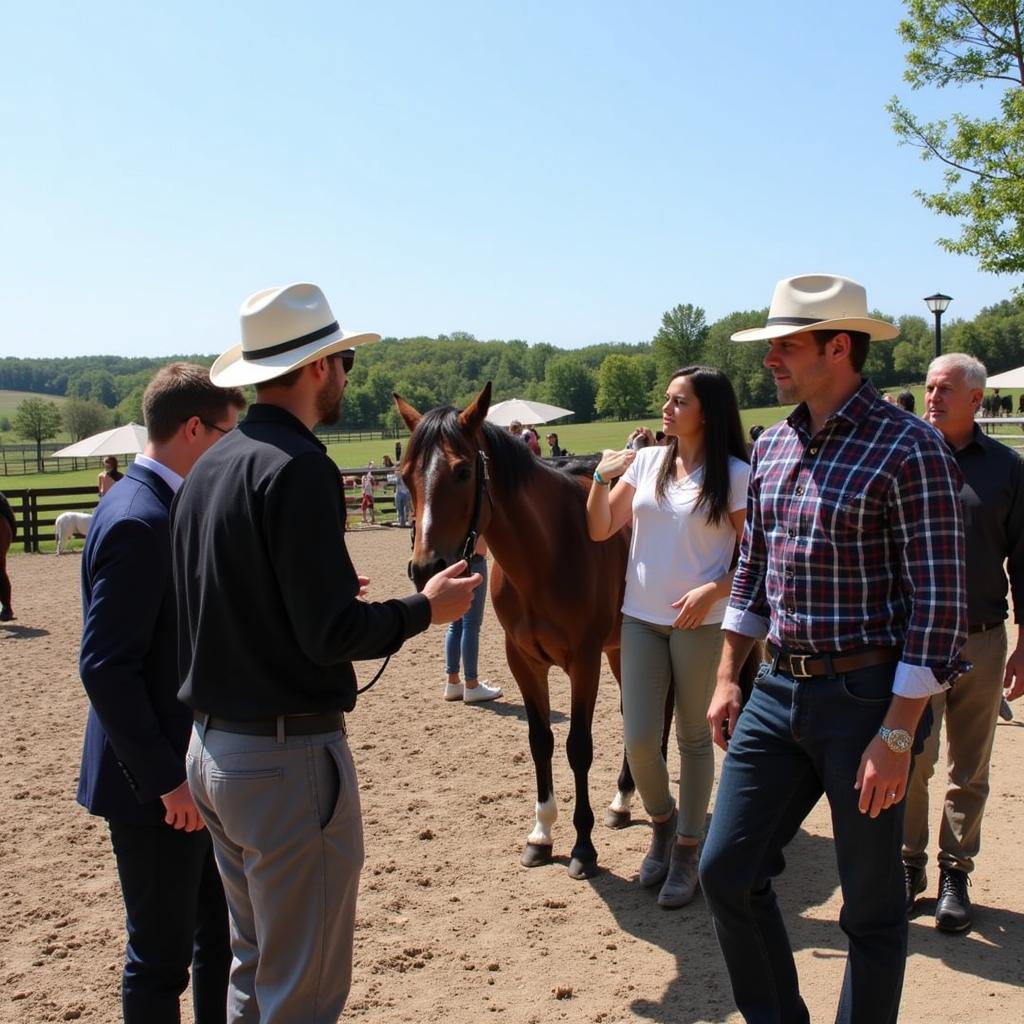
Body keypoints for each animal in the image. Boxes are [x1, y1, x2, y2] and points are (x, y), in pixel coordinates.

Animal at [395, 385, 643, 880]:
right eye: (406, 474)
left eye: (463, 470)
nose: (426, 569)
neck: (548, 551)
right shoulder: (524, 662)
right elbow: (540, 741)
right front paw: (541, 834)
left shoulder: (583, 662)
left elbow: (578, 746)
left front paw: (583, 847)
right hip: (620, 648)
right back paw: (623, 801)